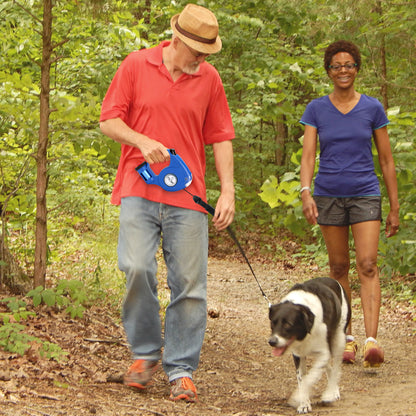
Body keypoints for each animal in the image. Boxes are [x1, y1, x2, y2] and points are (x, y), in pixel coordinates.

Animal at [268, 276, 350, 412]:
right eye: (273, 323)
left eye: (288, 324)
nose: (272, 342)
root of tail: (333, 280)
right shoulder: (298, 355)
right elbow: (302, 380)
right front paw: (304, 404)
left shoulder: (324, 352)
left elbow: (312, 376)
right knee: (329, 367)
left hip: (339, 339)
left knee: (336, 367)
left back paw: (331, 392)